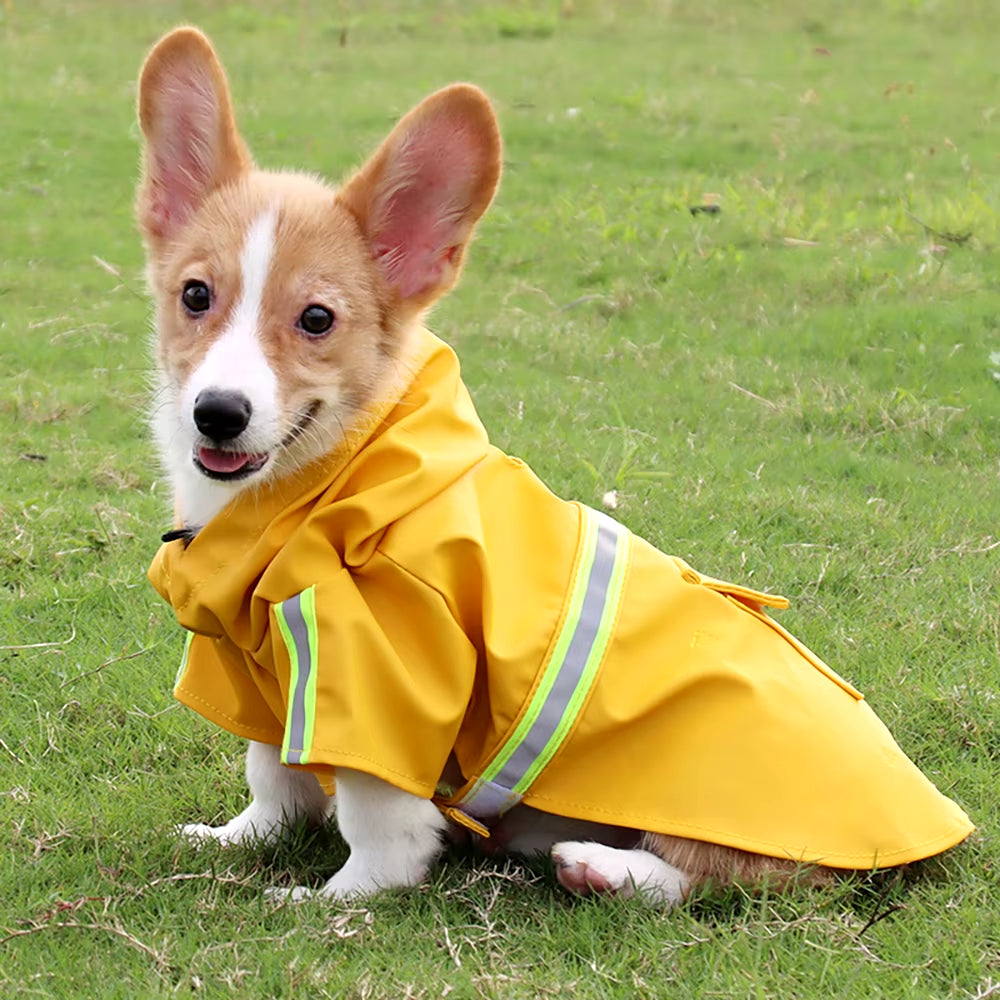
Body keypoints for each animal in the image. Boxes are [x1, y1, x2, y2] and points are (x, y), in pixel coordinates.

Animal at [133, 31, 968, 908]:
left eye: (317, 319)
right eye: (196, 295)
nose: (218, 413)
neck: (320, 486)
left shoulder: (383, 682)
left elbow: (378, 823)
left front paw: (336, 900)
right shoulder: (262, 667)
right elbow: (272, 773)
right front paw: (239, 838)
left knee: (731, 875)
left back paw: (603, 867)